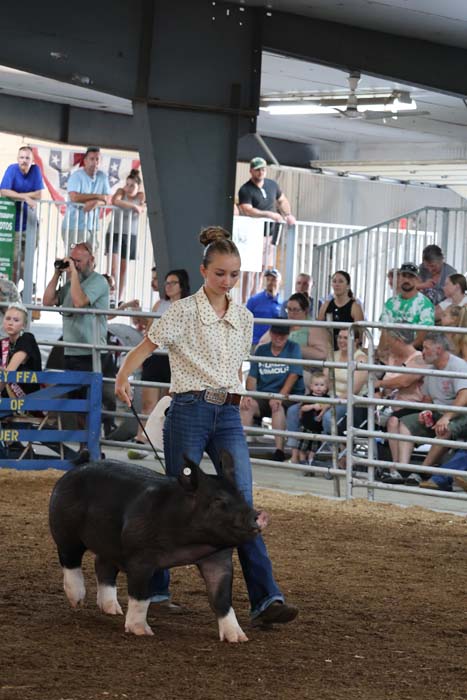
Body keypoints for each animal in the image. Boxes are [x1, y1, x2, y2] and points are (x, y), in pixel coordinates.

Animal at [49, 451, 268, 642]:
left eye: (242, 496)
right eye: (218, 500)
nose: (259, 515)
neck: (191, 545)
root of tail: (74, 470)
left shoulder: (219, 559)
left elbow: (221, 598)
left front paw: (239, 638)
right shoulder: (139, 556)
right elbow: (140, 595)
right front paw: (141, 632)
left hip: (109, 543)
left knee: (102, 565)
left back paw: (113, 610)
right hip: (65, 530)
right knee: (69, 560)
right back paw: (77, 601)